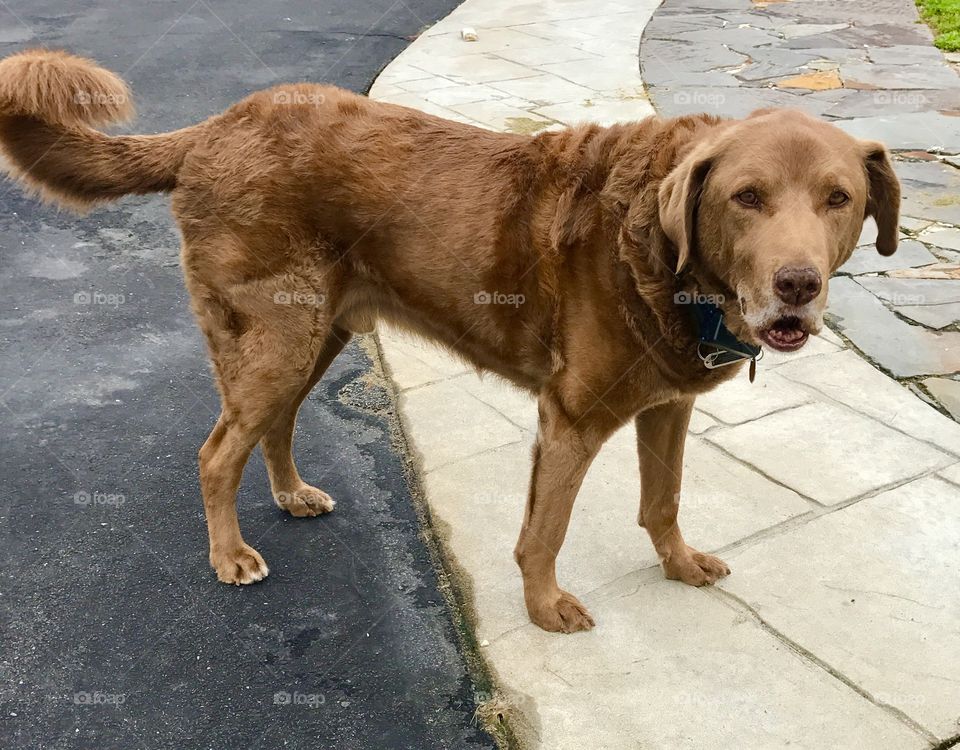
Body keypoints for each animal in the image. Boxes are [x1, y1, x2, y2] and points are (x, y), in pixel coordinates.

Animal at [1, 48, 900, 636]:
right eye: (746, 197)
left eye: (839, 199)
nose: (797, 285)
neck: (663, 253)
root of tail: (214, 126)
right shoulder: (569, 418)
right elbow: (545, 531)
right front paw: (545, 610)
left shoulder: (667, 405)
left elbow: (663, 500)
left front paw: (679, 566)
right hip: (274, 337)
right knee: (216, 451)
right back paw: (230, 557)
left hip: (315, 335)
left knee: (274, 425)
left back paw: (291, 495)